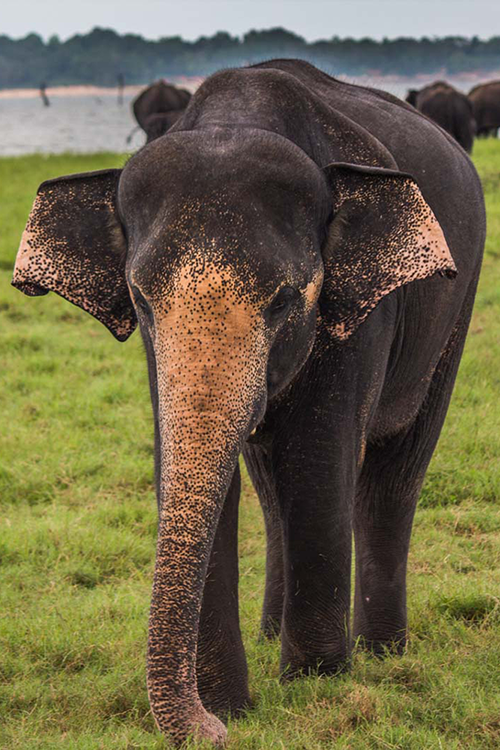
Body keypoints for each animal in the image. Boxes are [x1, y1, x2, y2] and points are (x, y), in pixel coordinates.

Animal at [12, 59, 485, 746]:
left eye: (285, 300)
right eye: (140, 300)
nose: (212, 731)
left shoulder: (359, 311)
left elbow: (318, 459)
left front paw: (315, 688)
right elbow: (197, 470)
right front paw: (233, 706)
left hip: (456, 304)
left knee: (394, 473)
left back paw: (379, 655)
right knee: (269, 484)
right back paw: (270, 637)